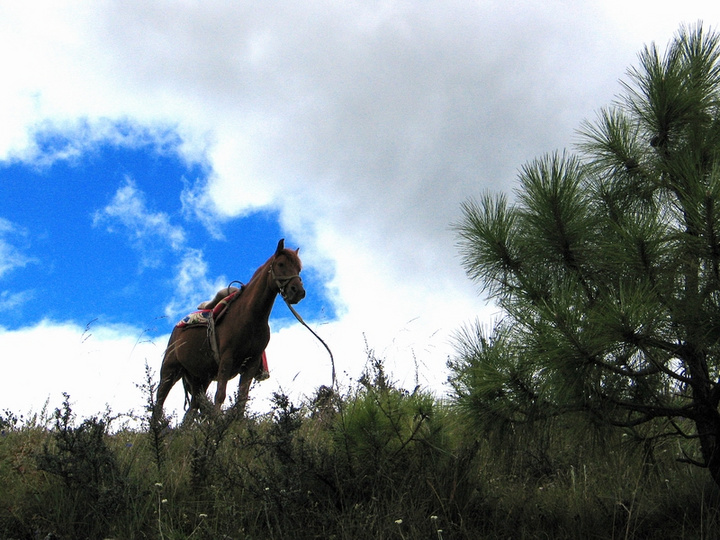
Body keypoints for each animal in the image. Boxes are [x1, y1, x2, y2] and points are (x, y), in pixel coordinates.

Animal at [154, 238, 304, 424]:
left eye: (299, 268)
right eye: (281, 264)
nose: (298, 292)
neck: (250, 318)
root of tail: (177, 329)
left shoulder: (251, 364)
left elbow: (242, 400)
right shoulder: (226, 360)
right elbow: (220, 395)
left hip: (199, 379)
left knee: (191, 411)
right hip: (169, 370)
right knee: (159, 403)